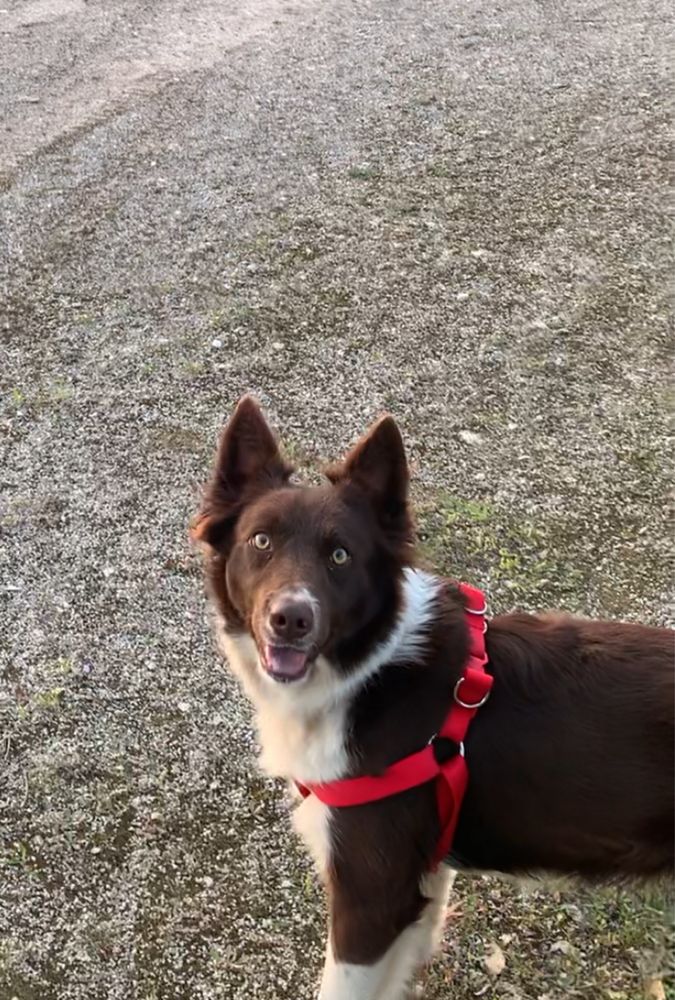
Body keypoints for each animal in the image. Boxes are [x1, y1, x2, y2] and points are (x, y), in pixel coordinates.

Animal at [191, 396, 675, 1000]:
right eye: (261, 541)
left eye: (341, 556)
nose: (291, 619)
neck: (368, 674)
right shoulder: (422, 878)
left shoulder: (371, 896)